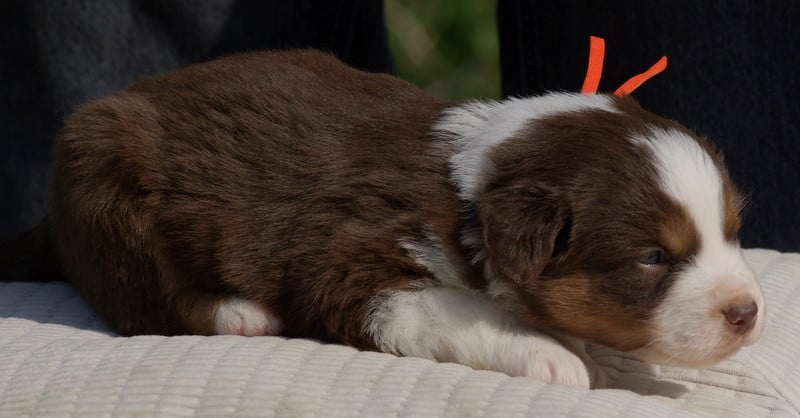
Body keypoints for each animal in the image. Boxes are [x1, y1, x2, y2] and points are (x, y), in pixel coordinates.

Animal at [46, 50, 764, 388]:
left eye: (731, 230)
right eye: (652, 257)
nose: (747, 312)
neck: (467, 193)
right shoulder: (352, 266)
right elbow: (467, 313)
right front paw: (554, 354)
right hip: (112, 199)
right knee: (144, 301)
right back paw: (237, 312)